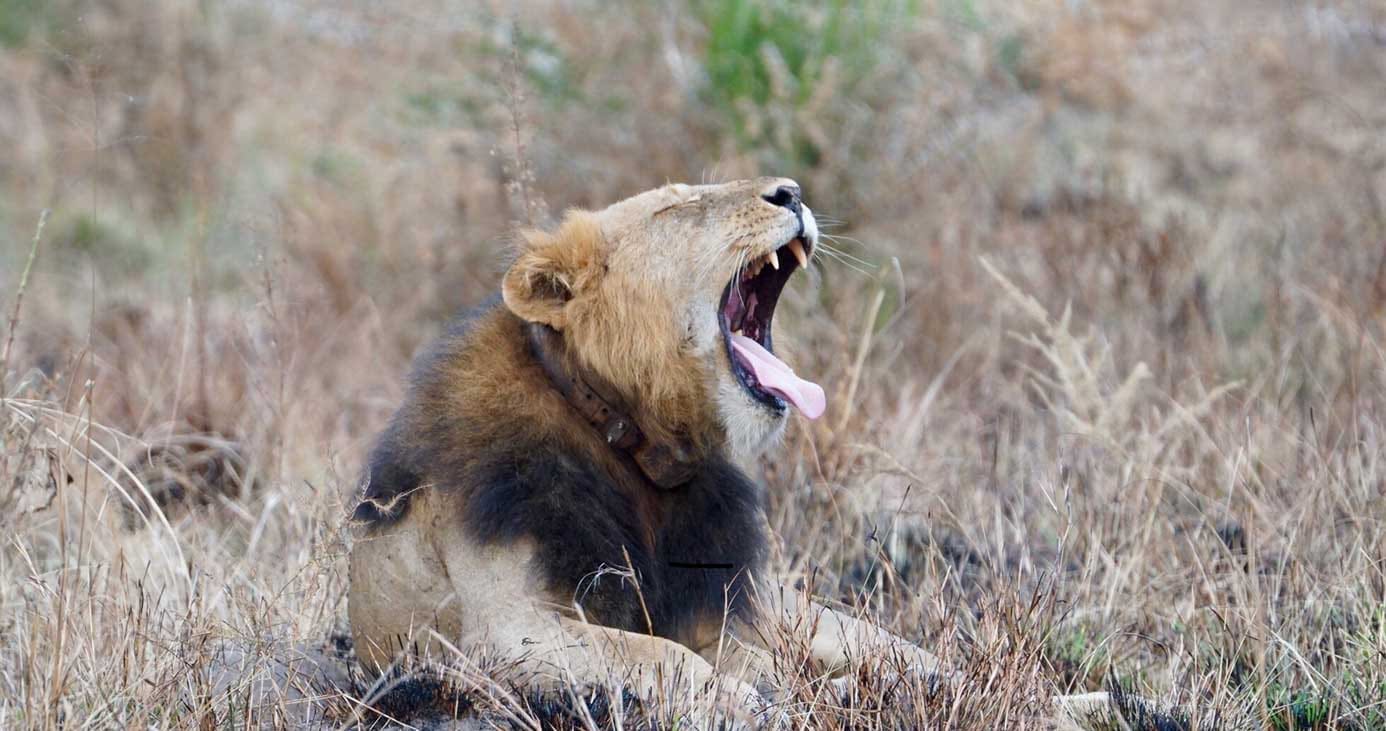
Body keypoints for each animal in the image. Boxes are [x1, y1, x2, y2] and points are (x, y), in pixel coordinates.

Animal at [347, 178, 1111, 726]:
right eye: (677, 208)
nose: (792, 191)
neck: (641, 453)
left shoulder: (728, 611)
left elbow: (711, 657)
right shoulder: (501, 631)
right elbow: (659, 656)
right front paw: (763, 706)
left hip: (799, 609)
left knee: (923, 663)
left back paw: (1082, 703)